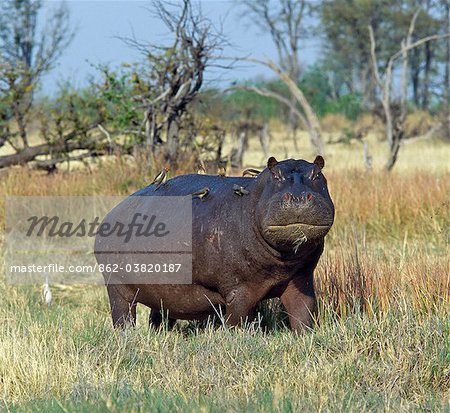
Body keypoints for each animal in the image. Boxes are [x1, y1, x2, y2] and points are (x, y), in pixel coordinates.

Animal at [95, 156, 334, 334]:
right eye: (276, 175)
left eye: (317, 173)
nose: (298, 197)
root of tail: (112, 213)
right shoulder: (238, 290)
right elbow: (237, 320)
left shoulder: (301, 278)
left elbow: (303, 312)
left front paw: (305, 337)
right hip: (117, 288)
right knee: (123, 315)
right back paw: (125, 335)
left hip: (160, 292)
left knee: (159, 315)